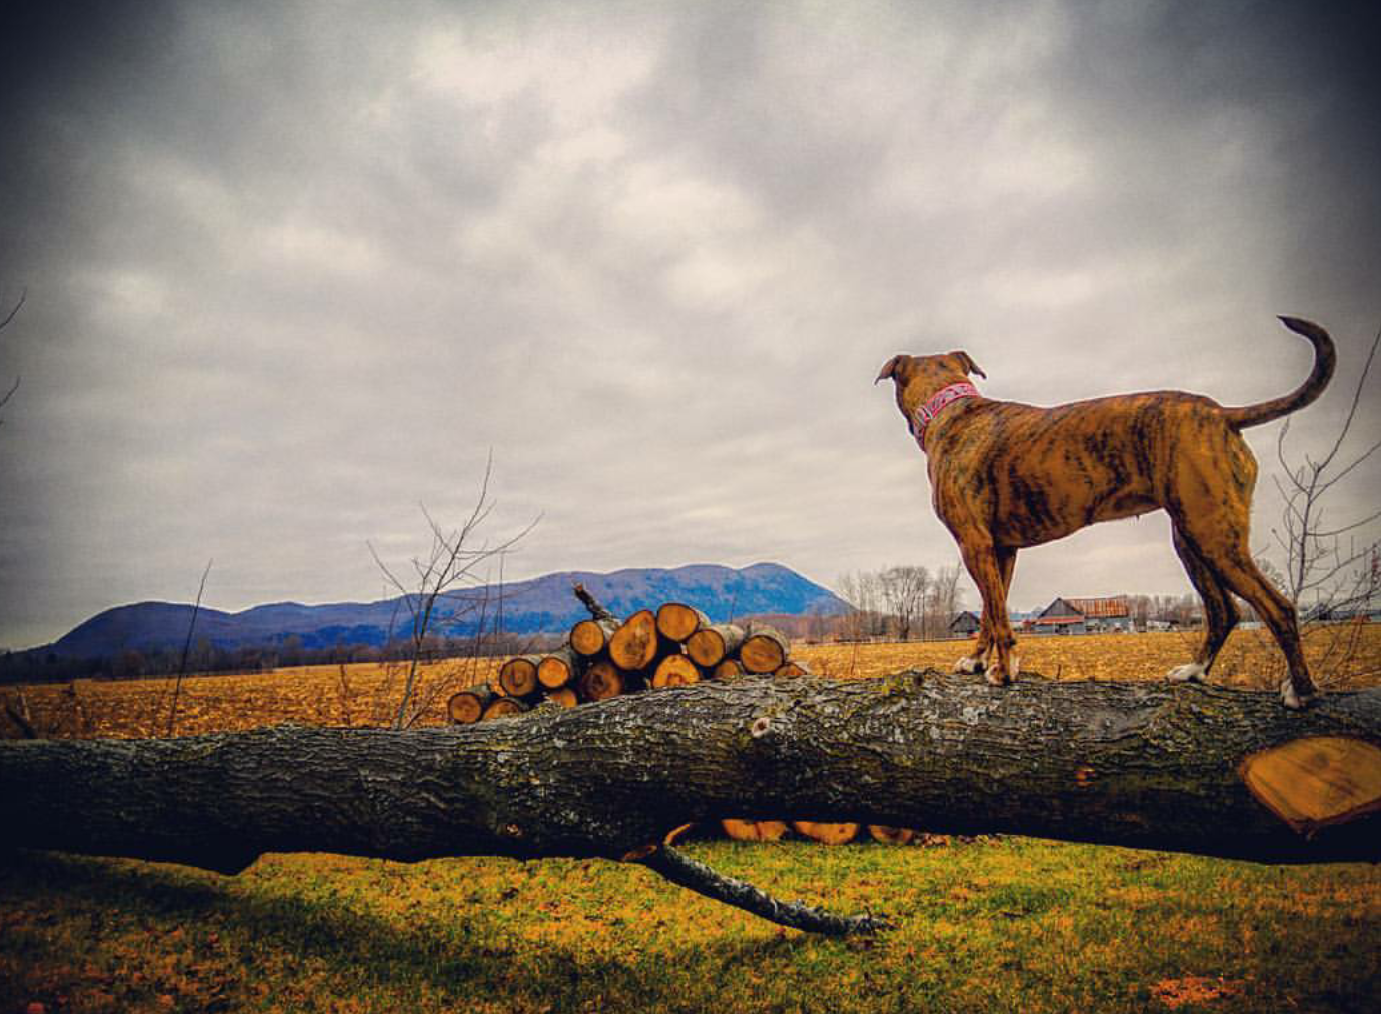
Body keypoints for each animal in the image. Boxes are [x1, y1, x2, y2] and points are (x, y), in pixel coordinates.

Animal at [878, 321, 1331, 712]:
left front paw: (1003, 673)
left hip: (1213, 535)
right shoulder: (1000, 550)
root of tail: (1222, 414)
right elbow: (992, 611)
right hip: (1189, 537)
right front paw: (975, 662)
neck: (952, 410)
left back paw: (1302, 690)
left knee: (1277, 608)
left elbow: (1000, 619)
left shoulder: (974, 544)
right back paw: (1194, 671)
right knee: (1225, 610)